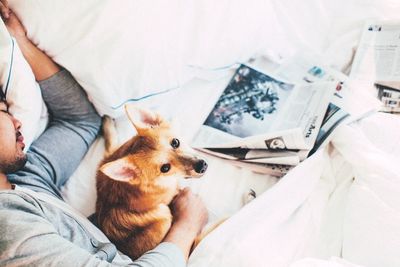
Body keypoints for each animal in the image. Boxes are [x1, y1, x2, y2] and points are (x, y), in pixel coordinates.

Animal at [95, 105, 208, 262]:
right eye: (165, 168)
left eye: (175, 142)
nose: (201, 166)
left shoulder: (110, 156)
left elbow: (111, 144)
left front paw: (108, 125)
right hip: (164, 214)